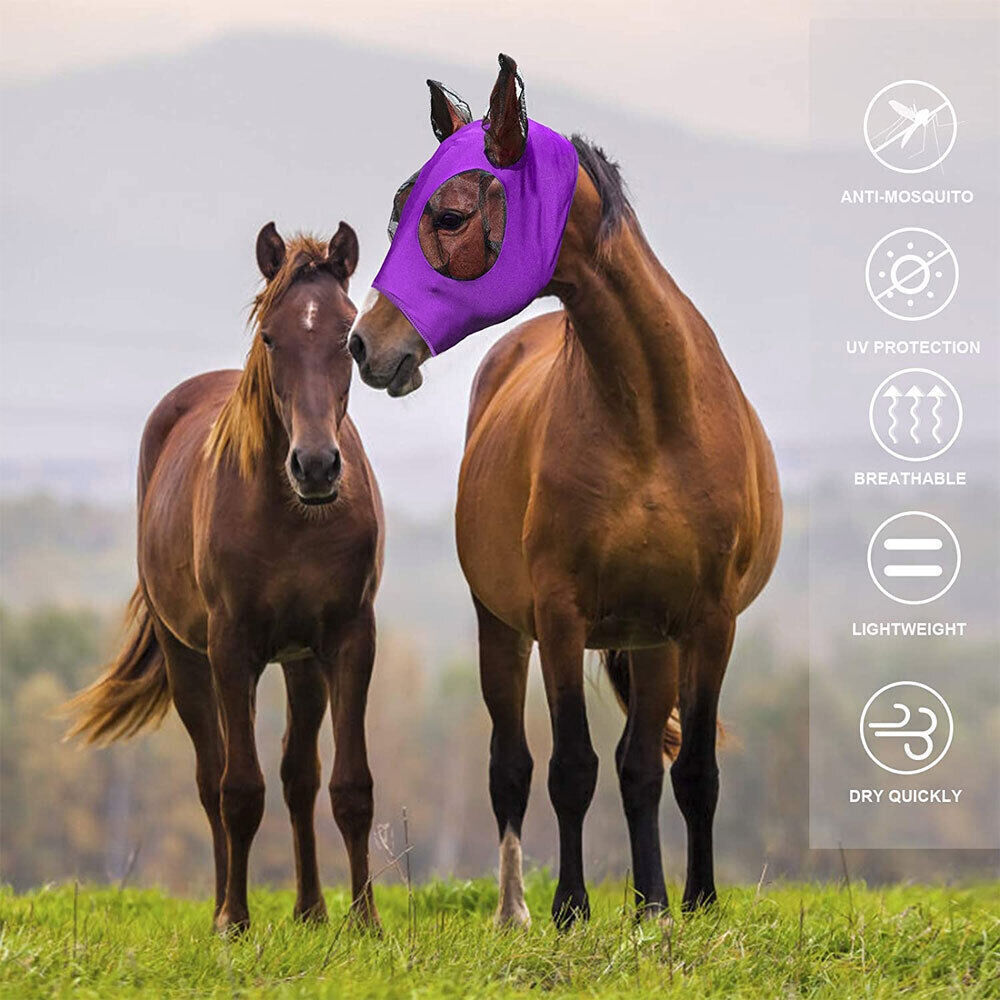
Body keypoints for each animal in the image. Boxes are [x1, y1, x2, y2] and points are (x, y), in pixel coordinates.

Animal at [64, 223, 385, 933]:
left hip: (300, 662)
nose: (316, 466)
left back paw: (311, 910)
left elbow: (349, 785)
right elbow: (238, 790)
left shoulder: (349, 639)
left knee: (298, 776)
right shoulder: (231, 647)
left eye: (347, 335)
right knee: (211, 778)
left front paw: (366, 924)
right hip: (189, 659)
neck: (293, 517)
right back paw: (220, 908)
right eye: (270, 336)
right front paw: (235, 922)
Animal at [347, 55, 782, 928]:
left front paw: (692, 904)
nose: (365, 345)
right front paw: (570, 909)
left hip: (653, 642)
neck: (651, 418)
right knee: (511, 765)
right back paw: (516, 910)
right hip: (503, 631)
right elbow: (568, 767)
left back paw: (651, 903)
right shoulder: (557, 615)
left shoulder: (705, 622)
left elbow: (689, 771)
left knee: (641, 765)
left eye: (448, 214)